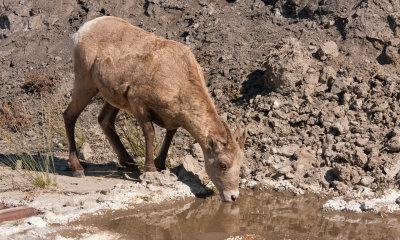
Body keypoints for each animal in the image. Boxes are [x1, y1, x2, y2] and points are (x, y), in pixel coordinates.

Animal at [63, 15, 247, 202]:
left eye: (240, 164)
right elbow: (150, 133)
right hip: (85, 85)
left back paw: (130, 164)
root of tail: (82, 31)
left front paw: (160, 165)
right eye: (222, 164)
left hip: (112, 98)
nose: (233, 196)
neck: (178, 80)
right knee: (69, 116)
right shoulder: (138, 103)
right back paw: (77, 169)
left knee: (104, 120)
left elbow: (170, 135)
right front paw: (150, 170)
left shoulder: (172, 118)